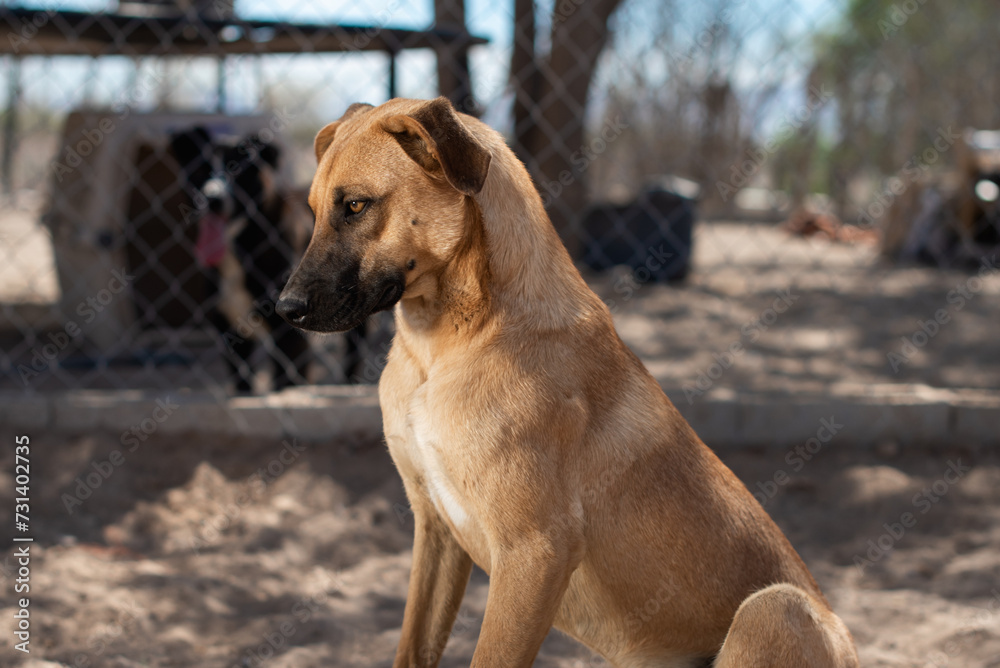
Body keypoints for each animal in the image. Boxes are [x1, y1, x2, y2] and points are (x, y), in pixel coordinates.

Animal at [170, 125, 312, 392]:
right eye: (201, 171)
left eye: (237, 171)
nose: (212, 199)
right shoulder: (231, 332)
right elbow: (242, 386)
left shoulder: (288, 335)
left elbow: (284, 384)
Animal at [274, 99, 860, 668]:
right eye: (314, 210)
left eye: (356, 206)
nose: (284, 309)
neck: (446, 347)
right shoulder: (436, 530)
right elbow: (412, 646)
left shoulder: (535, 552)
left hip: (775, 607)